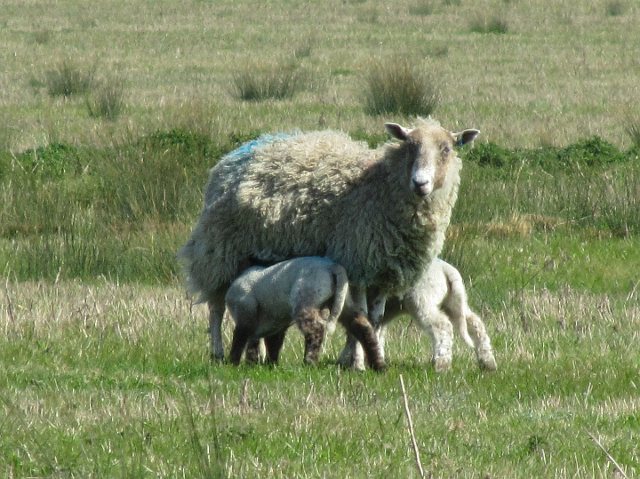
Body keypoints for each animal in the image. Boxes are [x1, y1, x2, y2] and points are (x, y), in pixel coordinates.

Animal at [225, 256, 384, 370]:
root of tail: (333, 267)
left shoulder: (245, 314)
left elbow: (239, 340)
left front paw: (232, 364)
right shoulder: (275, 324)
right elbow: (269, 345)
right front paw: (268, 365)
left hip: (306, 301)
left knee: (316, 330)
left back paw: (309, 363)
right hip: (345, 302)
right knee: (362, 326)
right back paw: (378, 365)